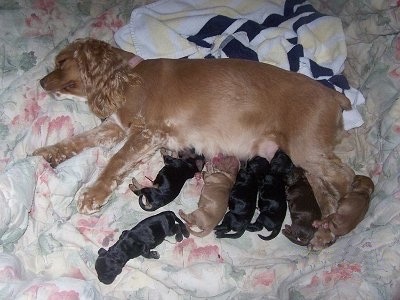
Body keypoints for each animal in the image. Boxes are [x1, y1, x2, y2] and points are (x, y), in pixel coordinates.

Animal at [33, 38, 354, 216]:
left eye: (62, 61)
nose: (40, 82)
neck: (128, 76)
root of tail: (334, 95)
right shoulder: (116, 128)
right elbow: (79, 140)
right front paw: (46, 154)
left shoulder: (148, 133)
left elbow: (115, 160)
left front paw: (92, 194)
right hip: (306, 158)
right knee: (325, 187)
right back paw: (324, 222)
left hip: (306, 149)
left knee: (347, 178)